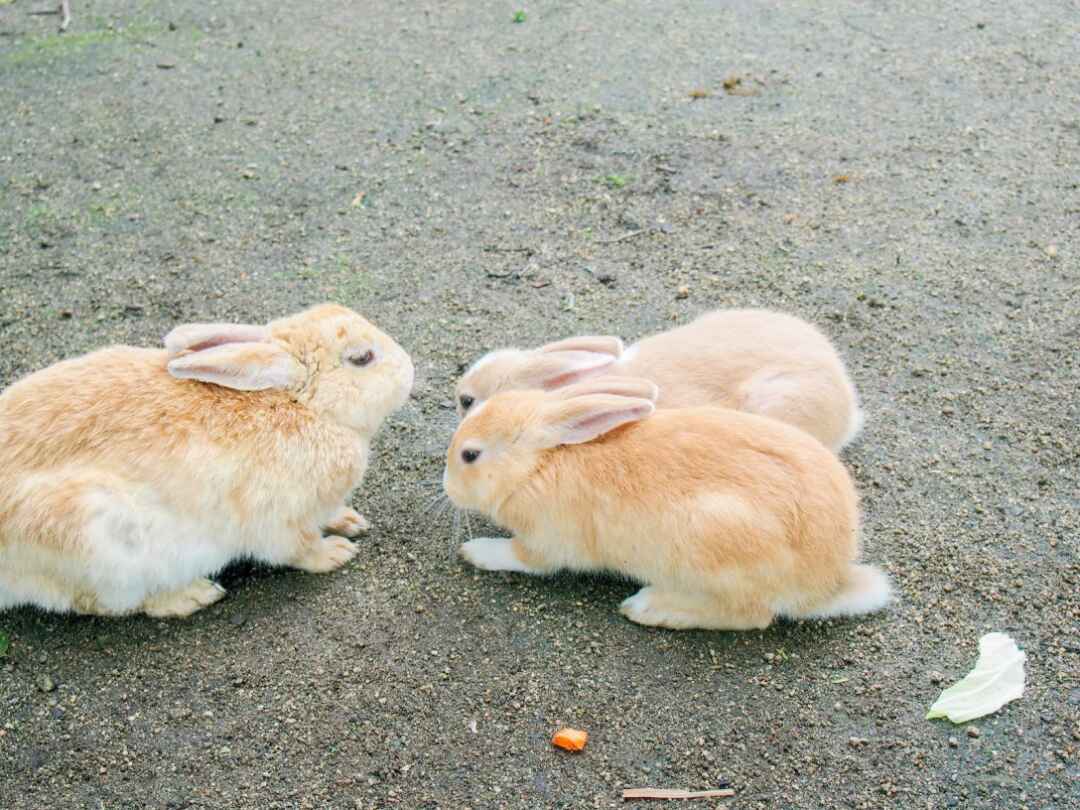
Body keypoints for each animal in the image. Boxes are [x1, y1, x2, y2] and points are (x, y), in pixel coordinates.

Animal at [0, 302, 412, 617]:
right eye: (362, 358)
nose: (410, 367)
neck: (304, 406)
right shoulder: (279, 520)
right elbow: (298, 549)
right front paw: (336, 553)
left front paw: (350, 520)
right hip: (98, 543)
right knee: (107, 603)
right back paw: (194, 595)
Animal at [442, 378, 889, 630]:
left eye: (470, 455)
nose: (447, 486)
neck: (539, 463)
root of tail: (826, 580)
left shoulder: (546, 542)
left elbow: (522, 557)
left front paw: (475, 551)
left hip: (712, 543)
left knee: (750, 616)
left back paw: (648, 607)